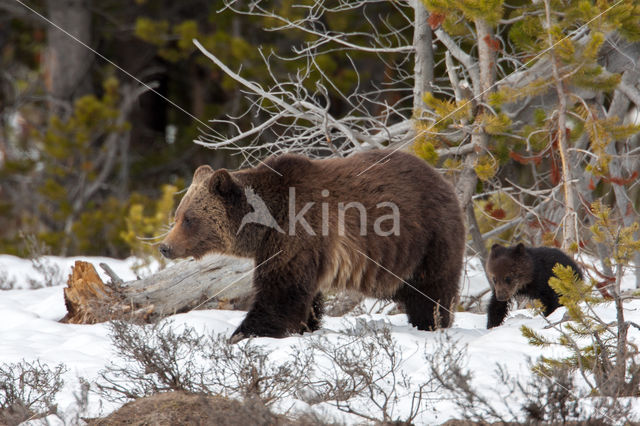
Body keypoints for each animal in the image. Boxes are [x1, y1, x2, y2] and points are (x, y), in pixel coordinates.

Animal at [158, 150, 462, 340]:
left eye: (189, 219)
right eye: (177, 215)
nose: (164, 247)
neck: (264, 225)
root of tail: (443, 179)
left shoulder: (297, 231)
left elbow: (280, 292)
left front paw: (243, 334)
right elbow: (304, 297)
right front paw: (306, 326)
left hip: (427, 237)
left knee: (431, 291)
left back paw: (431, 323)